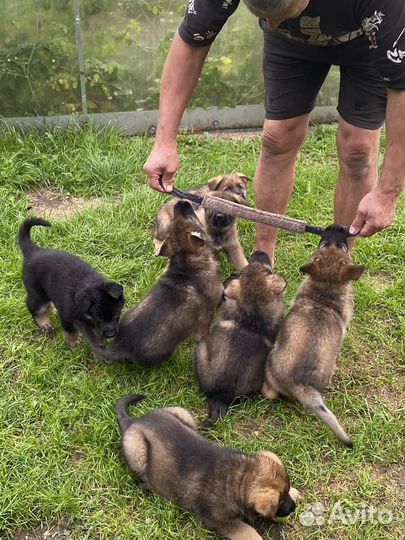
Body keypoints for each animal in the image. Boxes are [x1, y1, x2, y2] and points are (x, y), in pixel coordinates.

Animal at [17, 218, 124, 346]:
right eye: (99, 318)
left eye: (116, 315)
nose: (110, 335)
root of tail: (34, 251)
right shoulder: (66, 315)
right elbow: (71, 330)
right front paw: (73, 342)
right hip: (37, 293)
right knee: (34, 307)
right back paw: (44, 322)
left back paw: (52, 310)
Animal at [79, 202, 223, 368]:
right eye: (192, 218)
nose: (181, 203)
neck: (186, 260)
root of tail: (123, 345)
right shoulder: (206, 315)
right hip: (166, 351)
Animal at [115, 392, 298, 540]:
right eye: (280, 500)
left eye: (285, 494)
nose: (293, 508)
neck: (241, 477)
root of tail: (133, 421)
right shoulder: (219, 521)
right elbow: (247, 530)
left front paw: (295, 492)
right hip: (136, 449)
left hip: (182, 412)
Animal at [260, 224, 364, 448]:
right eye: (327, 244)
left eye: (340, 246)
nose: (336, 226)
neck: (325, 291)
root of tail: (301, 385)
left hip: (272, 358)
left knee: (270, 393)